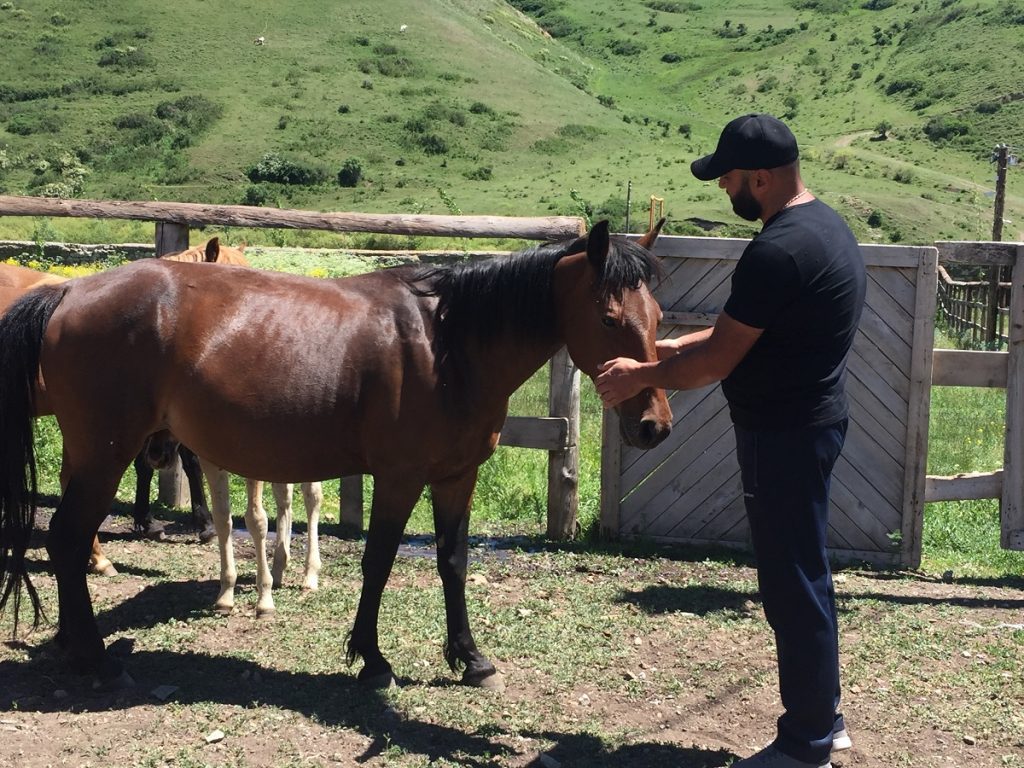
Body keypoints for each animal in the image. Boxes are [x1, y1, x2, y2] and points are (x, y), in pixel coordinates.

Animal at [0, 219, 671, 688]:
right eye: (610, 319)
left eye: (658, 313)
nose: (654, 425)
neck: (445, 345)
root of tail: (67, 293)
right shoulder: (399, 477)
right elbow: (378, 562)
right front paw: (371, 659)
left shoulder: (456, 476)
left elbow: (452, 562)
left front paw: (470, 657)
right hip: (104, 454)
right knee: (66, 538)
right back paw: (95, 659)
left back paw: (73, 647)